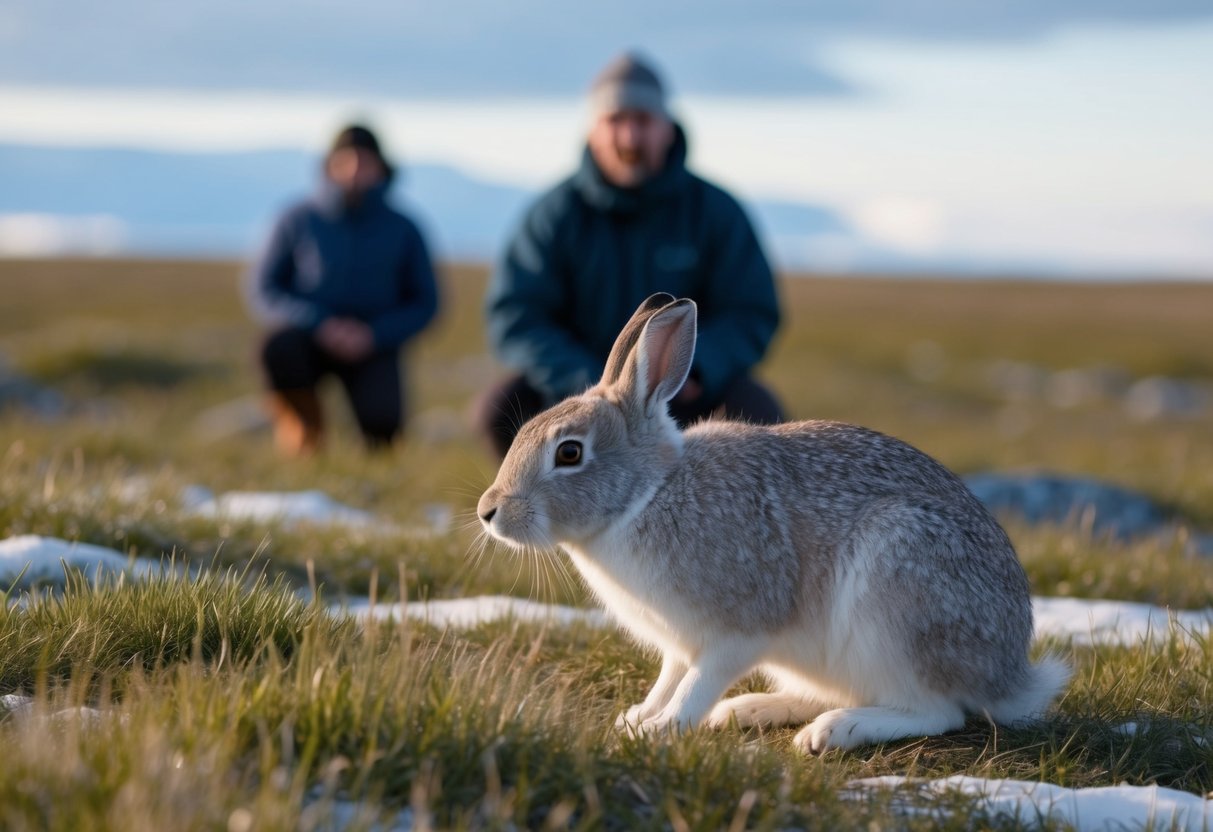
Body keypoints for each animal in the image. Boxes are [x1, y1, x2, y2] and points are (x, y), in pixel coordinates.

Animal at [478, 293, 1069, 753]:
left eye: (570, 453)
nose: (489, 511)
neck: (647, 496)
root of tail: (1008, 673)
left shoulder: (735, 631)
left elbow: (695, 684)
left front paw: (662, 730)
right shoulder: (679, 642)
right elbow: (669, 679)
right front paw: (638, 718)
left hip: (896, 603)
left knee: (936, 711)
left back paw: (833, 731)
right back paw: (748, 710)